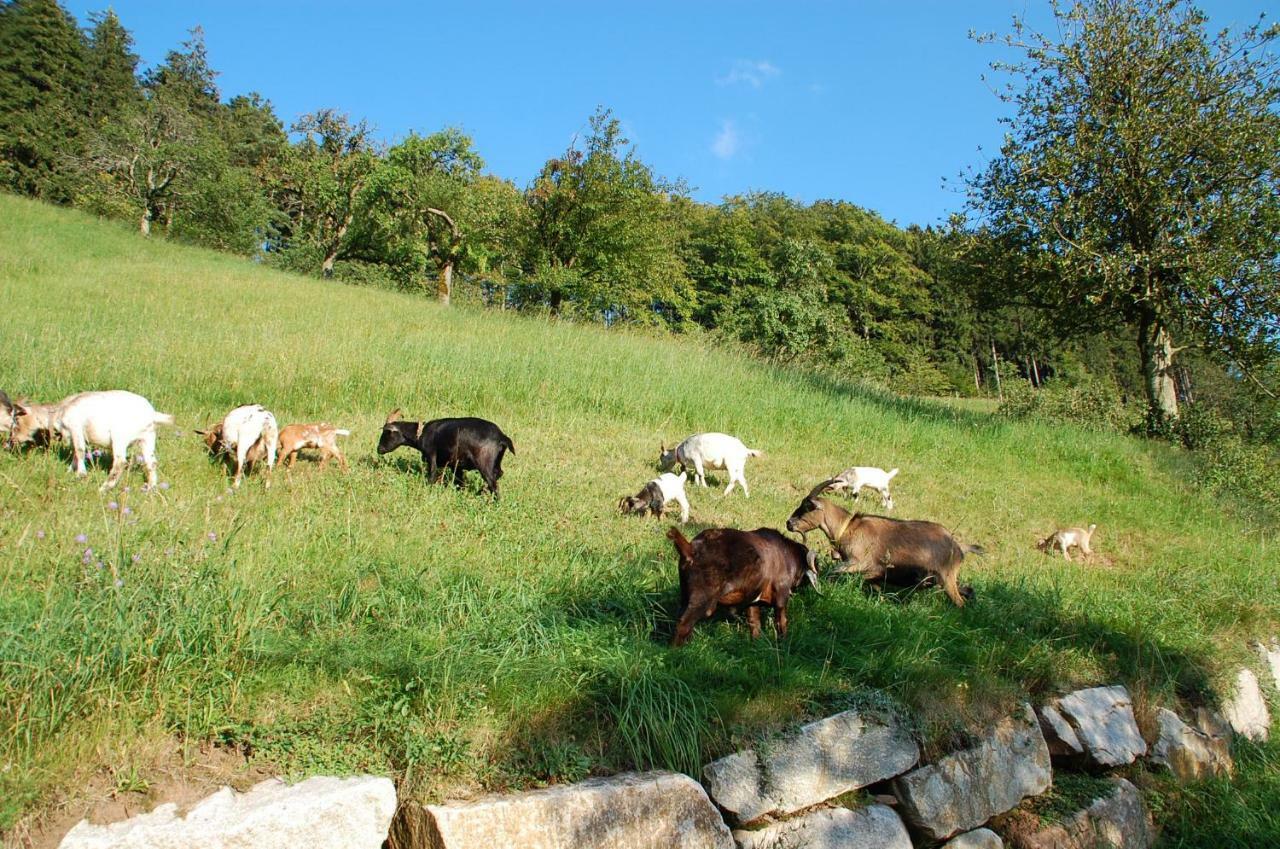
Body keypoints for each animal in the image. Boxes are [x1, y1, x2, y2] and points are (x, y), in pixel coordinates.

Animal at [376, 407, 512, 494]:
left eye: (387, 433)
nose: (379, 449)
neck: (422, 433)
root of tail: (501, 437)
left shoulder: (431, 456)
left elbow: (431, 475)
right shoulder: (455, 465)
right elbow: (459, 482)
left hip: (484, 463)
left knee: (492, 483)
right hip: (496, 461)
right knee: (499, 473)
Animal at [670, 525, 819, 645]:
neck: (786, 554)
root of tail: (691, 549)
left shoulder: (753, 602)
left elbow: (754, 623)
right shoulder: (781, 597)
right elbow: (781, 622)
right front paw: (783, 644)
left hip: (685, 594)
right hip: (703, 599)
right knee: (684, 623)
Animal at [778, 481, 977, 606]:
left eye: (807, 507)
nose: (789, 523)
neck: (848, 528)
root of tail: (958, 547)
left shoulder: (858, 563)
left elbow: (831, 573)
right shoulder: (874, 573)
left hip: (946, 578)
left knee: (960, 602)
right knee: (968, 591)